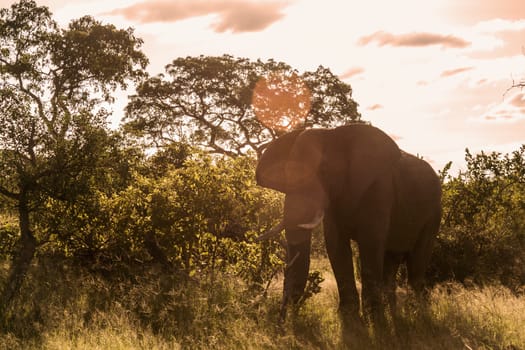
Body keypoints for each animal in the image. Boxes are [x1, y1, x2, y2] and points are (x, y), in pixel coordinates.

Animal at [256, 123, 440, 322]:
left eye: (325, 170)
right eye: (286, 173)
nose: (282, 320)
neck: (334, 133)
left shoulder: (379, 188)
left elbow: (370, 242)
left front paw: (374, 320)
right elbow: (335, 245)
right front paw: (350, 317)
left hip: (433, 214)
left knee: (417, 266)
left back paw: (417, 315)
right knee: (391, 264)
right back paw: (396, 316)